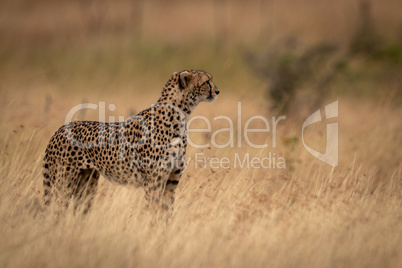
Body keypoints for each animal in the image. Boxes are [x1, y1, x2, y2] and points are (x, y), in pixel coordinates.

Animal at [42, 70, 220, 213]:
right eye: (206, 81)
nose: (217, 91)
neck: (180, 115)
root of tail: (59, 130)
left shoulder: (171, 180)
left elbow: (166, 212)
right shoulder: (154, 181)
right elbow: (155, 211)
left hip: (86, 184)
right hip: (63, 184)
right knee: (56, 211)